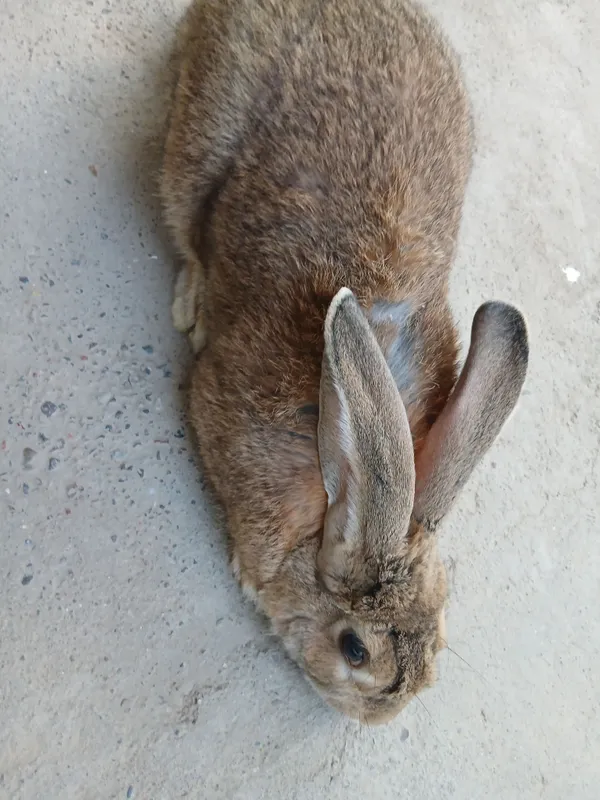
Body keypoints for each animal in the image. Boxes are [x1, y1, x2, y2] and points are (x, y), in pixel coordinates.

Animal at [160, 0, 529, 724]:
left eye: (439, 633)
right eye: (354, 649)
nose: (379, 718)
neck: (333, 504)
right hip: (197, 141)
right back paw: (193, 302)